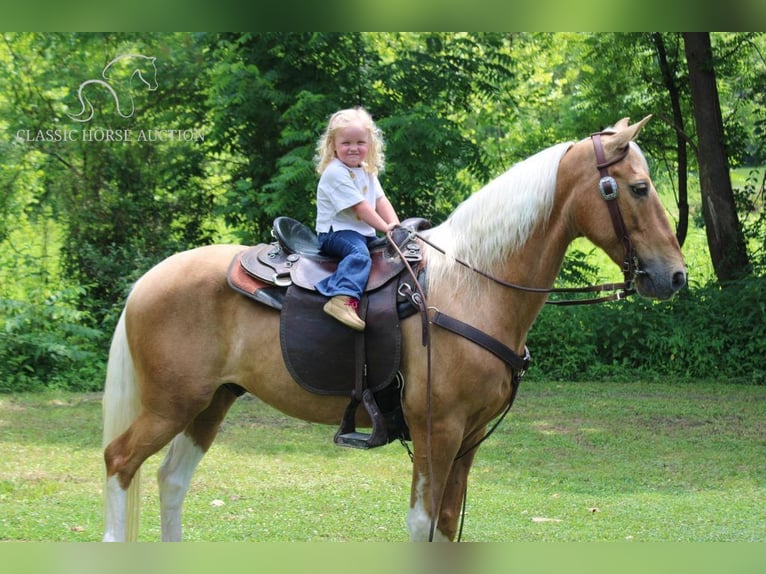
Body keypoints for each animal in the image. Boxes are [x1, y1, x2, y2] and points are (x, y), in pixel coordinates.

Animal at [103, 115, 688, 544]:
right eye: (639, 188)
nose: (675, 275)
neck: (472, 286)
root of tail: (148, 280)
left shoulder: (469, 439)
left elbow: (447, 526)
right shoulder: (438, 431)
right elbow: (422, 525)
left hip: (211, 402)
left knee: (171, 481)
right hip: (171, 405)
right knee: (120, 463)